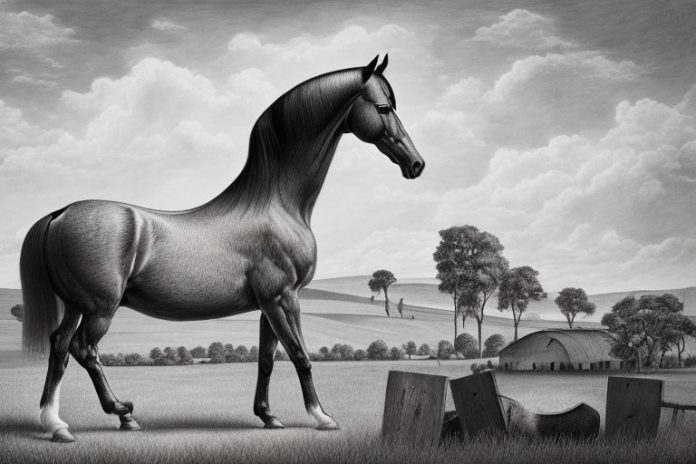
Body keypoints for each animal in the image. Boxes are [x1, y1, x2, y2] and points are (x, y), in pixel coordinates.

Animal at [20, 55, 425, 443]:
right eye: (383, 107)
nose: (416, 164)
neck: (278, 204)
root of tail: (60, 214)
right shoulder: (284, 297)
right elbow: (300, 355)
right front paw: (322, 417)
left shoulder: (267, 305)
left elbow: (267, 360)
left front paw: (268, 416)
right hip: (100, 308)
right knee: (83, 350)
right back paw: (122, 413)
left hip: (76, 305)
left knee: (59, 349)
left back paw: (56, 424)